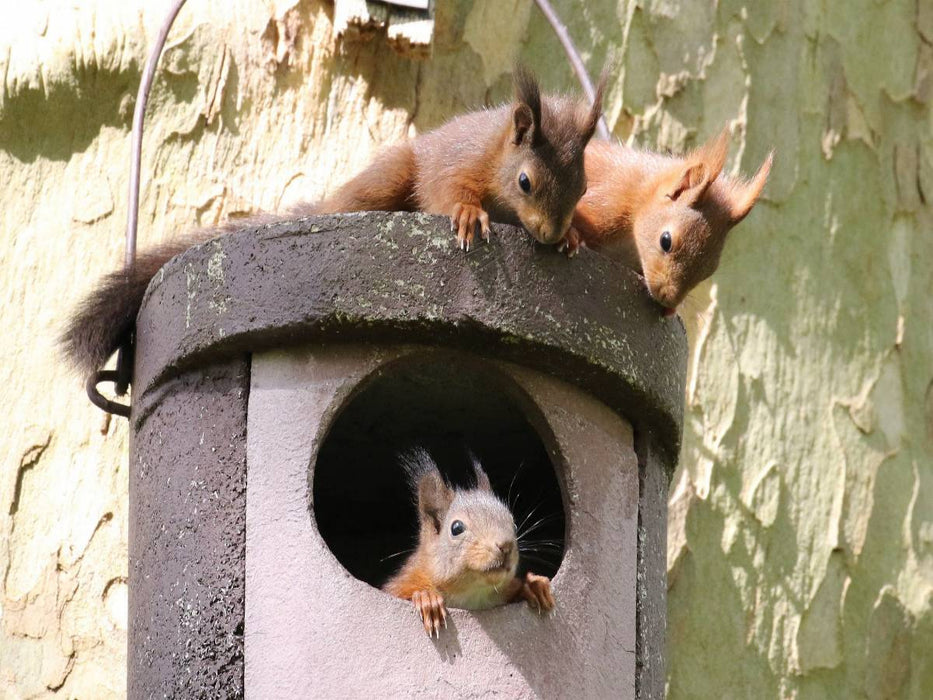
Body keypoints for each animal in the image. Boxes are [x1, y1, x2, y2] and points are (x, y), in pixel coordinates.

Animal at [61, 66, 603, 379]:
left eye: (582, 189)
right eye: (526, 182)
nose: (551, 232)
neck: (498, 156)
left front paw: (574, 238)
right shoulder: (459, 163)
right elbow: (447, 191)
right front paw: (469, 215)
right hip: (386, 178)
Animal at [383, 448, 555, 638]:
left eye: (514, 524)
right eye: (456, 528)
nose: (506, 546)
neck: (472, 594)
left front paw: (534, 585)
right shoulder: (404, 581)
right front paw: (426, 597)